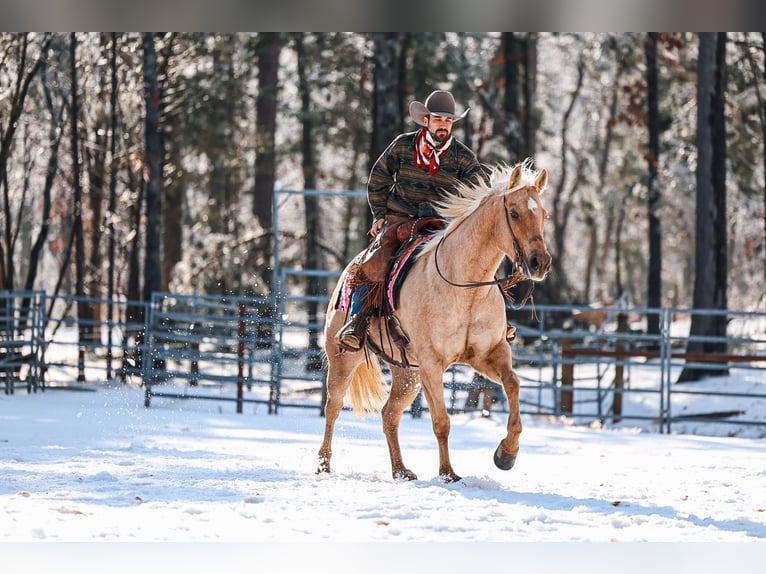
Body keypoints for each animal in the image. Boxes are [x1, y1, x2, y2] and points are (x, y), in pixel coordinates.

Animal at [317, 162, 552, 482]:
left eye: (544, 215)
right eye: (514, 213)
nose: (540, 263)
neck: (466, 288)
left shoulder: (489, 355)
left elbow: (513, 384)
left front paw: (506, 454)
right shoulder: (431, 364)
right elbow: (441, 421)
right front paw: (448, 473)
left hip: (407, 374)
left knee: (389, 414)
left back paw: (401, 470)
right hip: (343, 358)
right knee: (333, 407)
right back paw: (324, 465)